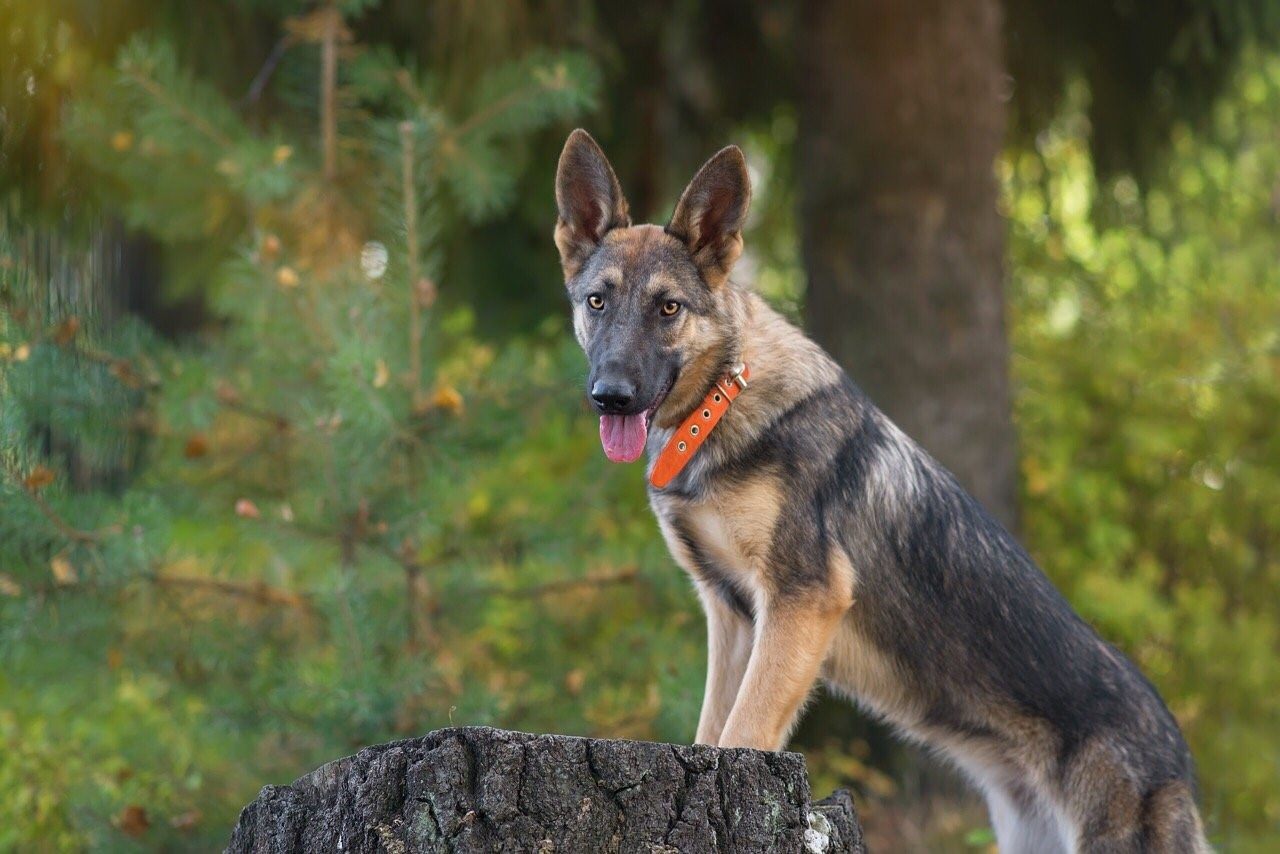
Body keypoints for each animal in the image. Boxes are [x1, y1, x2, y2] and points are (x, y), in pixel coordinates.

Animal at [552, 128, 1208, 854]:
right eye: (597, 302)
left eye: (668, 308)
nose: (610, 395)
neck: (723, 402)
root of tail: (1177, 756)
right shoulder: (734, 617)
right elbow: (712, 736)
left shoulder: (801, 601)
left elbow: (743, 732)